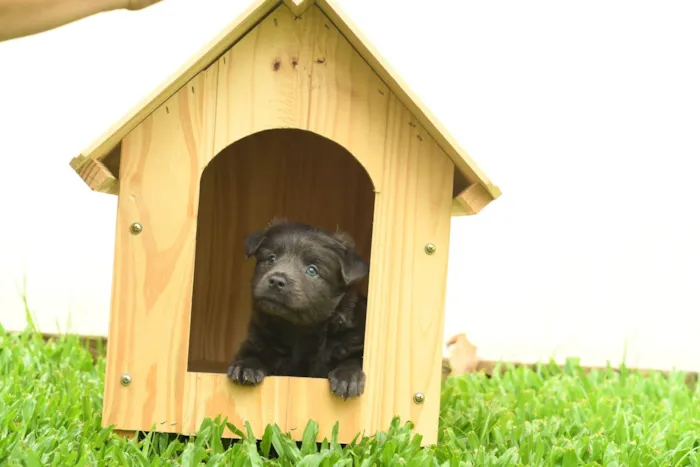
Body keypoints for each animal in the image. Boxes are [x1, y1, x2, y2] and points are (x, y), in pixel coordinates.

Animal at [228, 218, 372, 398]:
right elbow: (251, 352)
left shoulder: (352, 339)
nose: (276, 281)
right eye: (271, 259)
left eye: (312, 270)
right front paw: (245, 366)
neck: (298, 331)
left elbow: (353, 358)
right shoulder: (257, 338)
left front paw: (348, 376)